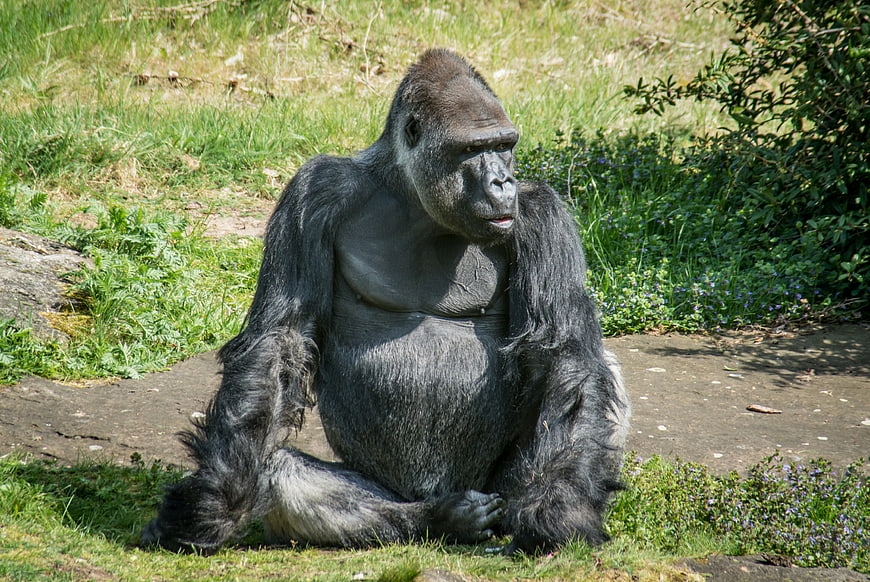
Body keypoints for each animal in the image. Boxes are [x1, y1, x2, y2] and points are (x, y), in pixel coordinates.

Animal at [141, 48, 630, 554]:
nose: (502, 182)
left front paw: (559, 508)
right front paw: (216, 497)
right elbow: (280, 339)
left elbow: (565, 357)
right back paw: (440, 518)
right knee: (285, 474)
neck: (414, 200)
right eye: (472, 149)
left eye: (505, 144)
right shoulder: (316, 190)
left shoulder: (541, 214)